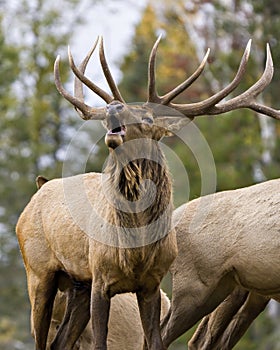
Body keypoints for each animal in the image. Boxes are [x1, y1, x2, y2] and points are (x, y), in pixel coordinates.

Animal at [16, 33, 280, 350]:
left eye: (149, 119)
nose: (114, 107)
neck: (136, 249)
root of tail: (36, 196)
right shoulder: (101, 279)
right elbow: (104, 343)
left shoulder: (151, 284)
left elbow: (154, 342)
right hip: (40, 273)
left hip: (81, 284)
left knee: (60, 342)